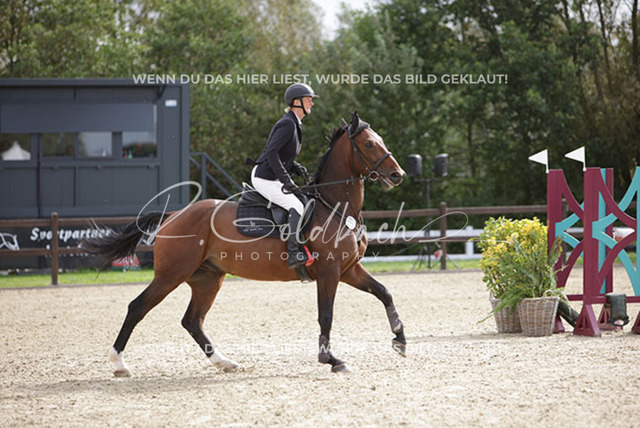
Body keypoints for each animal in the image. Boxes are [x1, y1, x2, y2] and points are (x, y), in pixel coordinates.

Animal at [84, 111, 407, 376]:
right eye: (369, 145)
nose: (398, 175)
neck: (334, 206)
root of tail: (174, 215)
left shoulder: (348, 269)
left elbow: (384, 292)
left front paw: (400, 339)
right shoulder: (329, 272)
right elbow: (325, 315)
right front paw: (332, 360)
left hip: (207, 279)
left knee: (192, 320)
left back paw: (224, 362)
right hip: (171, 274)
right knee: (138, 307)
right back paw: (119, 363)